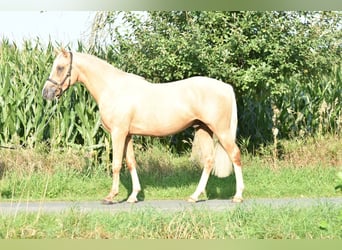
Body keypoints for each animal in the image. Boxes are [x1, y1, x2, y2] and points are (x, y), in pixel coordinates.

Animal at [42, 50, 244, 203]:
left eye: (60, 67)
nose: (46, 93)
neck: (112, 88)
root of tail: (226, 87)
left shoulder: (118, 133)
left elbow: (116, 164)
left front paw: (111, 196)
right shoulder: (128, 135)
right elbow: (131, 162)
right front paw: (133, 196)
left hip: (221, 131)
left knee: (235, 155)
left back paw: (238, 196)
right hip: (203, 129)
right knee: (209, 161)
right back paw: (194, 197)